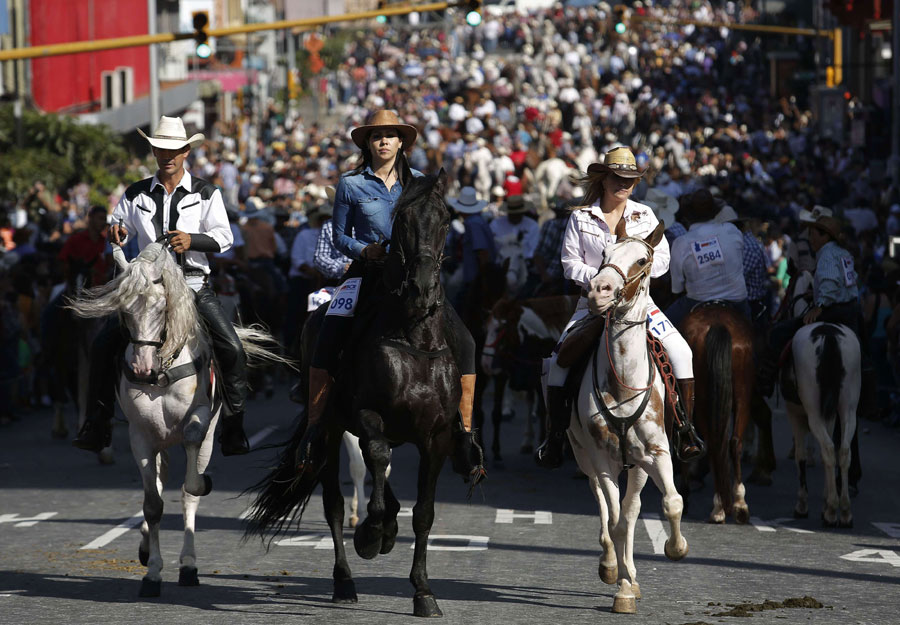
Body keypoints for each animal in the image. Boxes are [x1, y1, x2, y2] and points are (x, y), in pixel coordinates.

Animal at [70, 241, 284, 596]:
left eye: (161, 308)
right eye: (124, 311)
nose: (142, 367)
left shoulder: (199, 424)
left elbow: (190, 489)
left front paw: (186, 561)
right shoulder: (142, 437)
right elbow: (153, 504)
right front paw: (152, 572)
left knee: (186, 491)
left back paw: (188, 565)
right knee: (158, 484)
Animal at [246, 173, 468, 616]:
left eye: (445, 220)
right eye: (402, 221)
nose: (421, 288)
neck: (412, 339)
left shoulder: (436, 437)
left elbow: (424, 513)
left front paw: (423, 592)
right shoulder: (367, 416)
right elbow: (376, 459)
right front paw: (370, 534)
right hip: (330, 432)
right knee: (334, 501)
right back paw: (345, 579)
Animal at [568, 222, 688, 612]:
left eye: (642, 260)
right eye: (604, 254)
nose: (599, 291)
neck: (624, 380)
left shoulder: (656, 454)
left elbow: (671, 503)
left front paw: (675, 548)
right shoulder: (602, 458)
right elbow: (615, 521)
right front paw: (620, 585)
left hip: (636, 466)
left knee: (632, 509)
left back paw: (631, 574)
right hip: (583, 454)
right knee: (606, 507)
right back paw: (612, 565)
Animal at [780, 270, 856, 524]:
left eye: (788, 287)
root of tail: (829, 334)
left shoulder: (794, 412)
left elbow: (802, 456)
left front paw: (803, 504)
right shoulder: (829, 413)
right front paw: (825, 498)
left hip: (812, 410)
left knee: (829, 448)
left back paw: (833, 510)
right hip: (848, 408)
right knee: (842, 450)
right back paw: (844, 510)